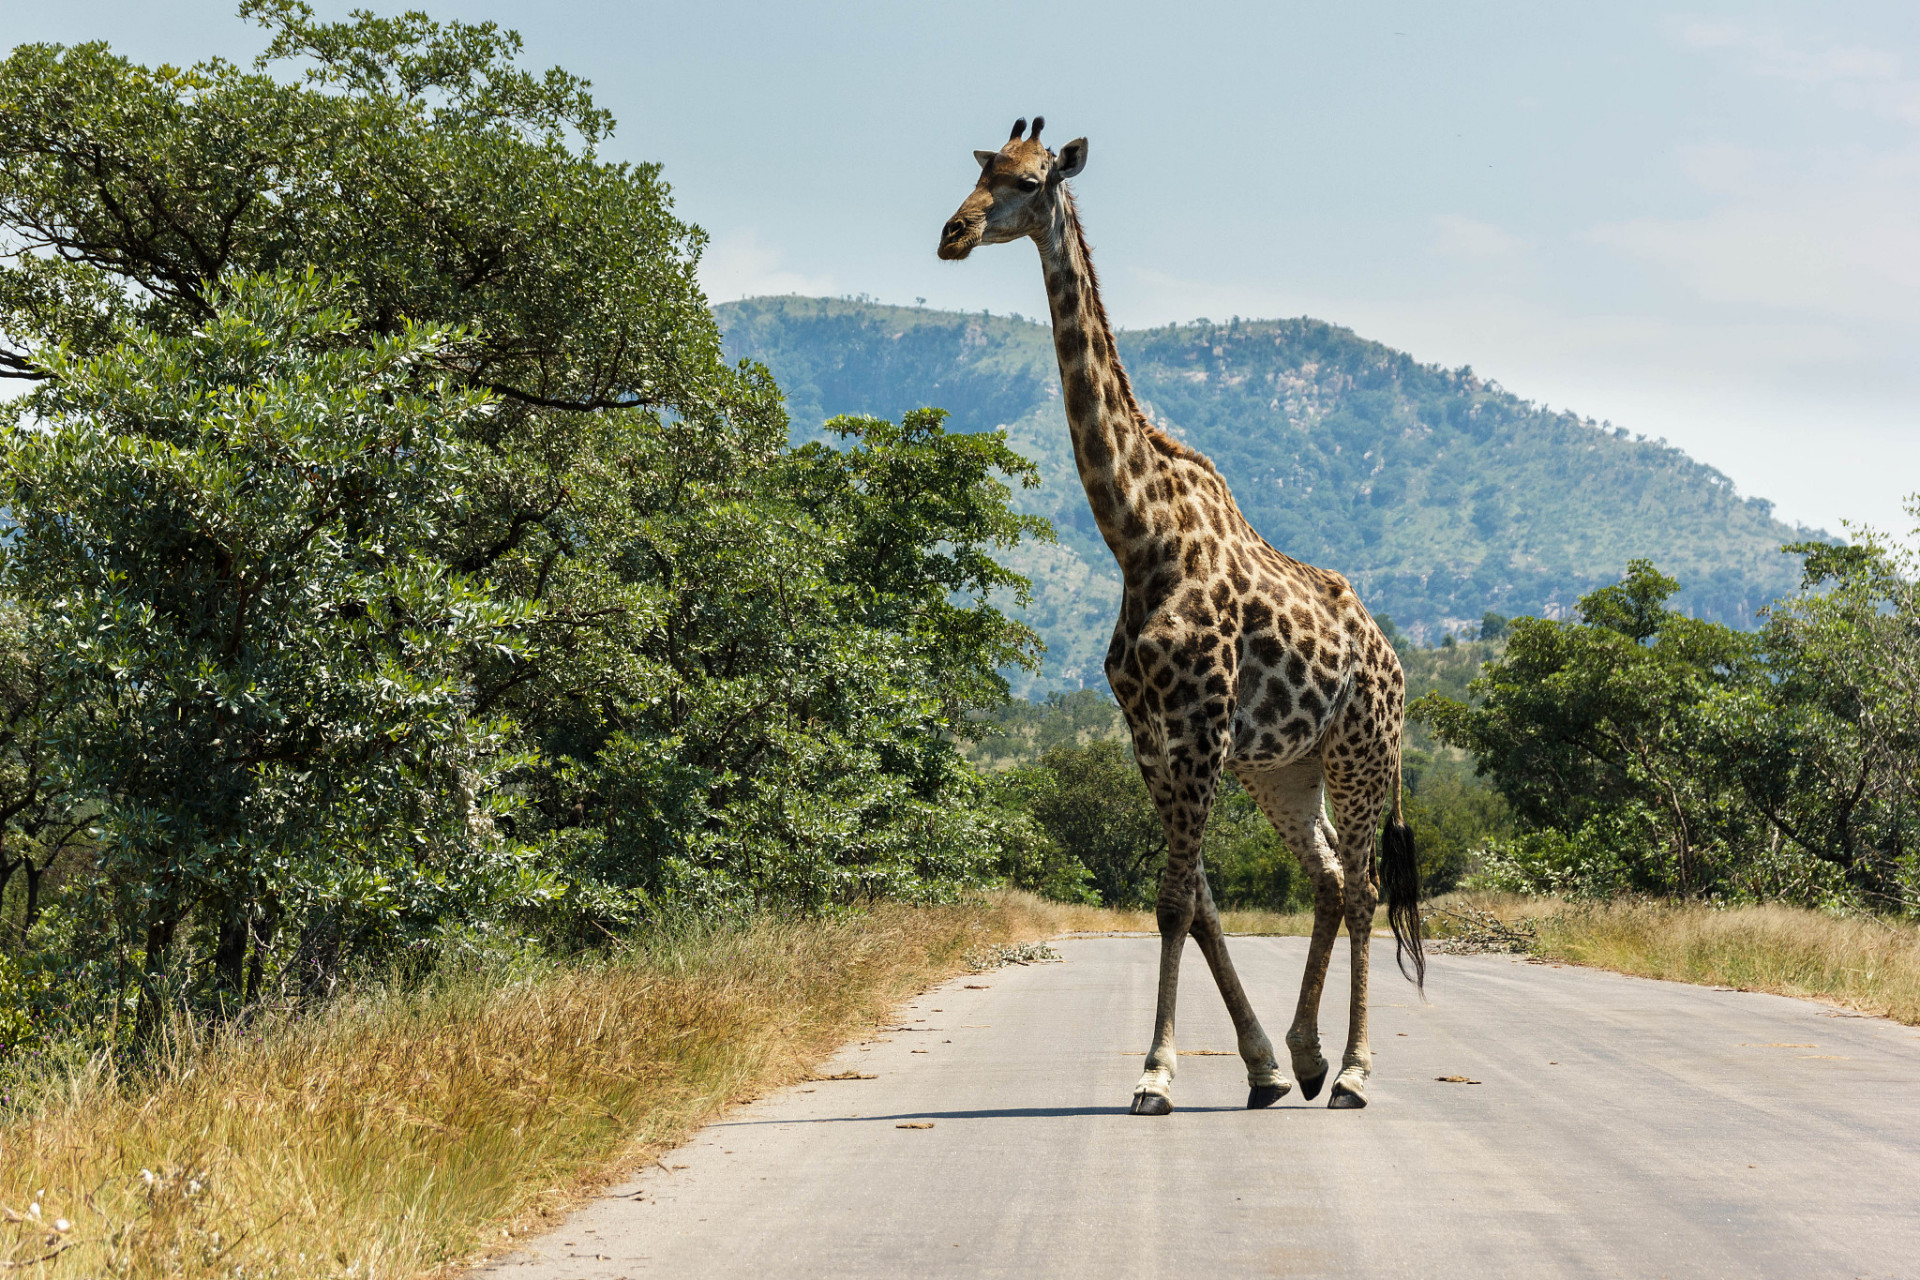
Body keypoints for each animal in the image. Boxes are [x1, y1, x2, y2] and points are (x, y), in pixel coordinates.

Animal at [936, 117, 1420, 1113]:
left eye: (1031, 181)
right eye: (979, 169)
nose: (951, 234)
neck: (1140, 537)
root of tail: (1397, 663)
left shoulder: (1197, 730)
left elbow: (1170, 901)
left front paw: (1157, 1073)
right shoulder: (1152, 735)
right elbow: (1193, 901)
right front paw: (1262, 1067)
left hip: (1361, 751)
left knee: (1360, 889)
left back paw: (1354, 1071)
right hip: (1284, 769)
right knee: (1324, 879)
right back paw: (1308, 1057)